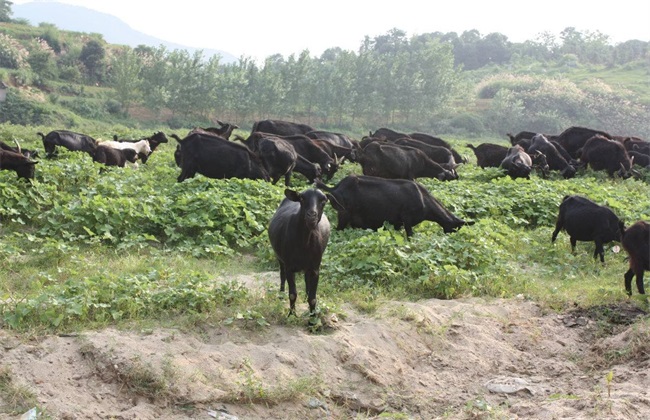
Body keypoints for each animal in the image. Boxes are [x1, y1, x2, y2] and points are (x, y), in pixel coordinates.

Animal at [268, 189, 330, 324]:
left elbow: (313, 298)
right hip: (280, 258)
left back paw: (306, 295)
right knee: (282, 274)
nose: (311, 215)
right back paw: (281, 294)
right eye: (302, 198)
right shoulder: (289, 267)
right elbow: (292, 294)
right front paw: (291, 315)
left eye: (323, 200)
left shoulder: (315, 268)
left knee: (306, 279)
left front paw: (313, 319)